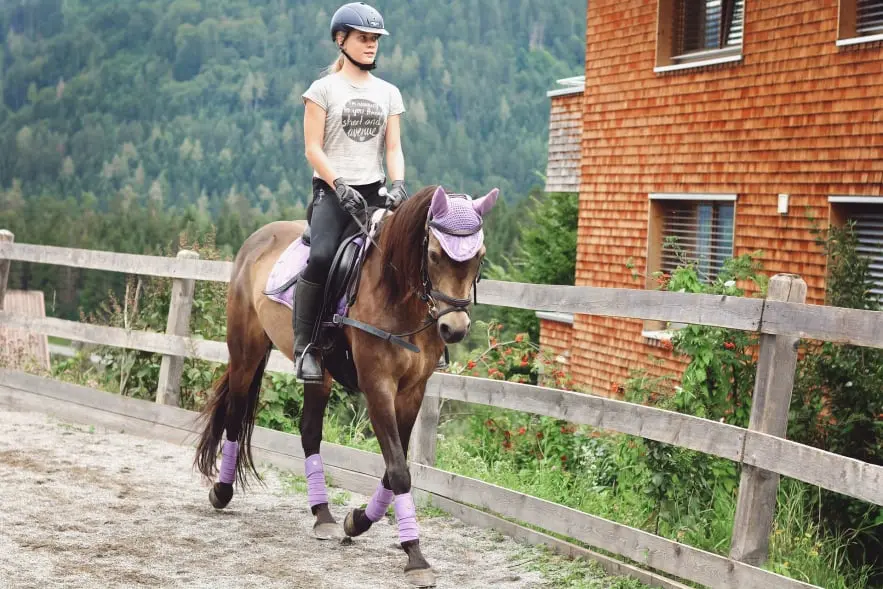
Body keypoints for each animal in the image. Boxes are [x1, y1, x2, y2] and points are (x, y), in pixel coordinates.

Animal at [193, 183, 498, 584]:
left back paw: (322, 514)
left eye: (479, 257)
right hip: (246, 351)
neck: (396, 294)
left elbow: (393, 469)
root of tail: (258, 238)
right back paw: (222, 492)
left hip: (318, 374)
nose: (454, 328)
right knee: (235, 415)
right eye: (433, 255)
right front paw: (415, 557)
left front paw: (358, 521)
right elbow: (398, 470)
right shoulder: (377, 386)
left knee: (309, 432)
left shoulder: (412, 391)